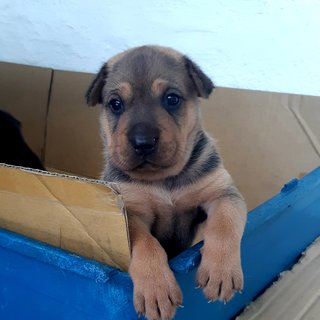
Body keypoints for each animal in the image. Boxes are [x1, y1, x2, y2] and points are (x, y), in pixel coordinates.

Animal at [85, 45, 248, 320]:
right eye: (115, 104)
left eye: (172, 99)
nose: (143, 142)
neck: (163, 180)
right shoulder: (131, 215)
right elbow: (146, 245)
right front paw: (156, 289)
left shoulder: (222, 194)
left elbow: (224, 226)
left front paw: (221, 271)